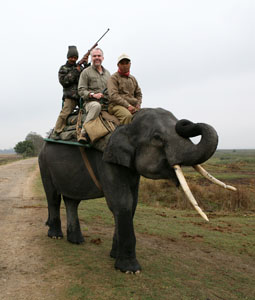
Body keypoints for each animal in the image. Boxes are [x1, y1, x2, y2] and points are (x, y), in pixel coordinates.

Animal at [37, 108, 235, 274]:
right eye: (157, 138)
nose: (185, 122)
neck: (127, 124)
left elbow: (132, 203)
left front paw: (114, 256)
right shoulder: (106, 160)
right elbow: (122, 203)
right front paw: (130, 270)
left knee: (72, 200)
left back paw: (76, 241)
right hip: (44, 163)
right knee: (53, 197)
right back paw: (56, 237)